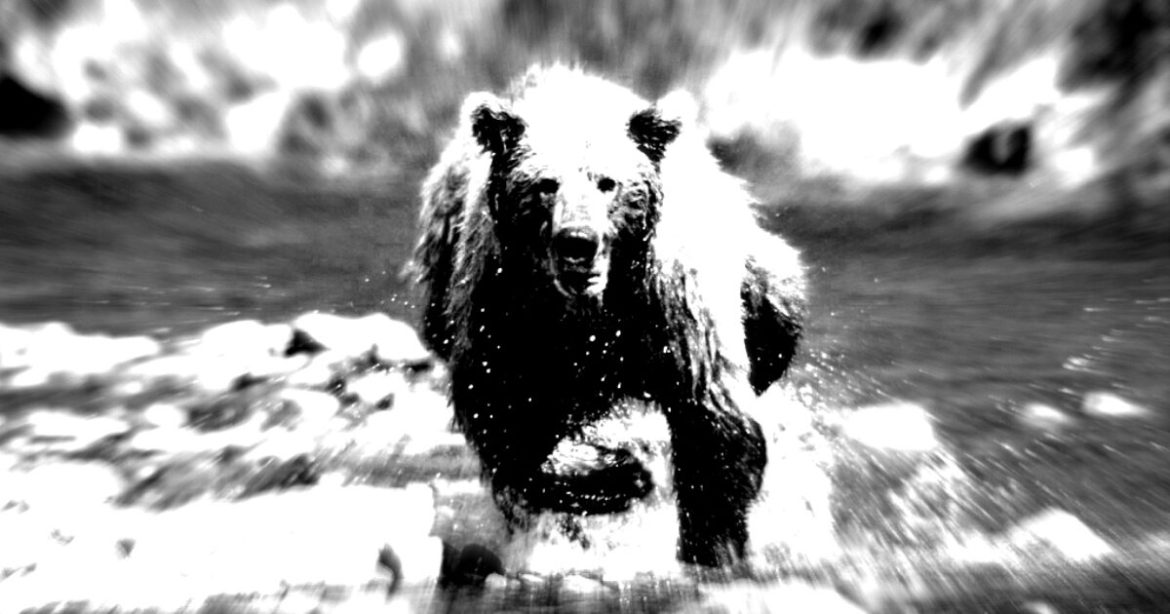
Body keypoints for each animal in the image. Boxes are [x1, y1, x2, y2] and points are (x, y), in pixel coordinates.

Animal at [411, 65, 807, 567]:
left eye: (607, 182)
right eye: (546, 184)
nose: (578, 241)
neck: (591, 310)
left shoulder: (671, 302)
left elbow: (710, 420)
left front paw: (712, 546)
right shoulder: (504, 305)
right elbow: (507, 419)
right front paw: (620, 475)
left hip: (750, 269)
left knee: (776, 312)